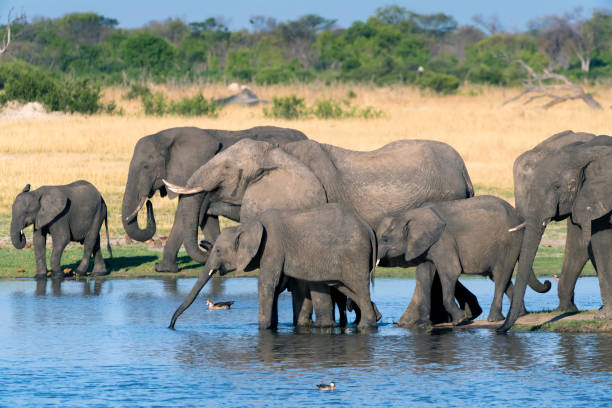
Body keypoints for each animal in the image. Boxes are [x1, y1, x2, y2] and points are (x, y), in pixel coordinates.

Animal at [122, 124, 308, 272]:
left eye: (146, 167)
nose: (148, 202)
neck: (168, 136)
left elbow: (187, 216)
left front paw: (162, 269)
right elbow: (206, 218)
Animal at [170, 204, 380, 332]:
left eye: (219, 250)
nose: (171, 326)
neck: (246, 226)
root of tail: (369, 229)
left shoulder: (272, 247)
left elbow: (266, 284)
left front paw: (262, 328)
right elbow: (275, 286)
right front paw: (271, 326)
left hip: (355, 254)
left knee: (358, 287)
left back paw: (366, 327)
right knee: (347, 288)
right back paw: (374, 319)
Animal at [376, 194, 552, 326]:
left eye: (385, 239)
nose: (548, 281)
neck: (413, 214)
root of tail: (519, 217)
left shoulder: (443, 241)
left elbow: (451, 272)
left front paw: (459, 321)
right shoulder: (427, 245)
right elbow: (425, 274)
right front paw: (422, 325)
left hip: (509, 242)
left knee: (501, 275)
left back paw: (494, 319)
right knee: (501, 277)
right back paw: (521, 314)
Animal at [500, 134, 612, 332]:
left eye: (558, 187)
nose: (499, 330)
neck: (587, 150)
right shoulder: (590, 198)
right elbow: (592, 243)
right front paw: (569, 310)